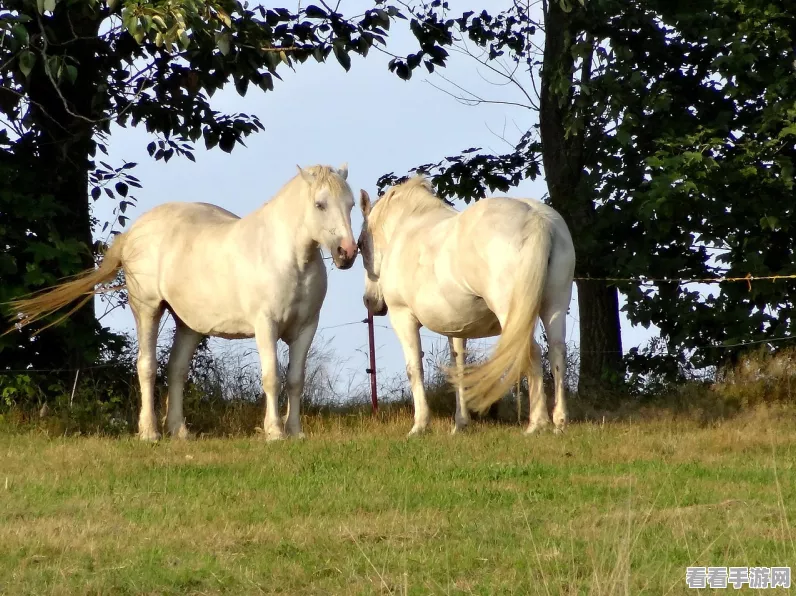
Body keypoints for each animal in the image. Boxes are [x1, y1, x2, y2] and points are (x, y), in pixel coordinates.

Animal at [6, 165, 358, 440]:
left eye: (351, 204)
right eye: (320, 204)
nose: (347, 252)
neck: (287, 257)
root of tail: (135, 231)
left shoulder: (305, 329)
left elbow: (295, 380)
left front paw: (295, 432)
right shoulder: (265, 326)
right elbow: (272, 377)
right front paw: (274, 432)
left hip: (188, 324)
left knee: (175, 370)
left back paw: (179, 430)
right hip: (147, 309)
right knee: (147, 367)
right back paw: (149, 431)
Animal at [358, 175, 576, 436]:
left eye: (360, 244)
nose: (369, 301)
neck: (406, 228)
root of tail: (536, 219)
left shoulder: (403, 318)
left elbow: (414, 369)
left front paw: (419, 426)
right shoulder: (456, 328)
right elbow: (459, 369)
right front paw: (460, 424)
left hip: (512, 313)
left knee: (531, 351)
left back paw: (537, 423)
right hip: (555, 305)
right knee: (557, 351)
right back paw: (560, 422)